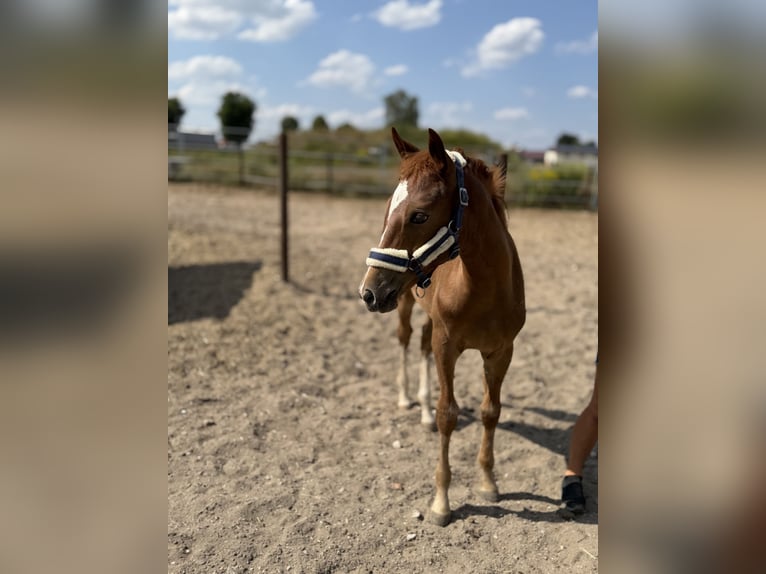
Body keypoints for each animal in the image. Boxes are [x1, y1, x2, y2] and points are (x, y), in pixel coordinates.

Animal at [358, 127, 526, 526]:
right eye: (388, 214)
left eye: (419, 215)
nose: (368, 292)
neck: (483, 287)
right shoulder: (447, 345)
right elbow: (448, 414)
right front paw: (441, 502)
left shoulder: (501, 351)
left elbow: (491, 411)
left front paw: (488, 482)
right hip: (404, 301)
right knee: (405, 340)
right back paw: (407, 398)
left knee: (419, 344)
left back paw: (421, 410)